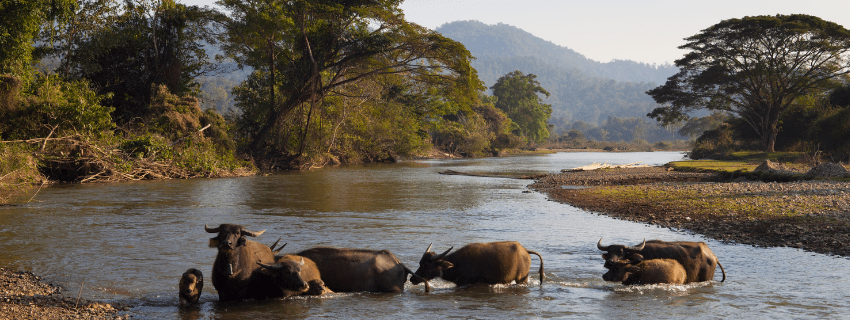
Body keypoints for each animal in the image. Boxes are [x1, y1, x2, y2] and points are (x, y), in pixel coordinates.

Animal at [410, 240, 544, 288]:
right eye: (420, 262)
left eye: (426, 265)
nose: (412, 279)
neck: (456, 264)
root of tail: (525, 251)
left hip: (521, 279)